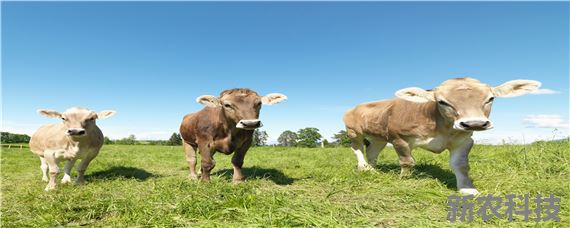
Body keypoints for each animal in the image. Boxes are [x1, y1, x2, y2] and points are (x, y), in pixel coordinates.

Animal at [344, 78, 540, 194]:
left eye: (491, 99)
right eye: (442, 102)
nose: (474, 123)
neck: (441, 126)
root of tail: (355, 106)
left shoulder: (464, 140)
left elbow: (460, 165)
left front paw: (467, 189)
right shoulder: (398, 138)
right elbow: (407, 162)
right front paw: (404, 180)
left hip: (378, 137)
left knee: (372, 152)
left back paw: (373, 169)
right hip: (354, 131)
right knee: (357, 148)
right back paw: (363, 167)